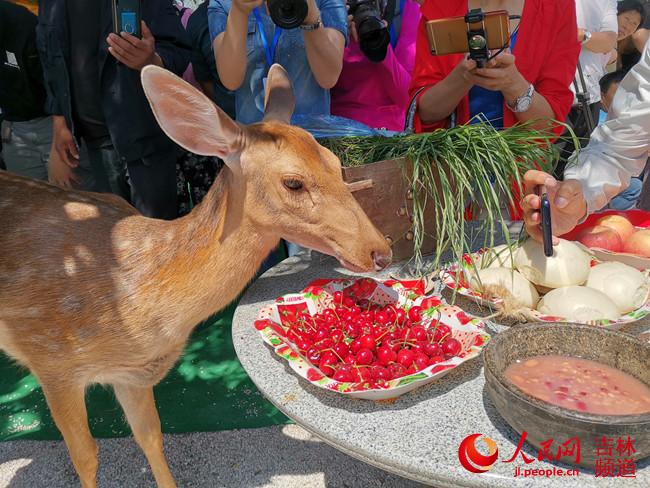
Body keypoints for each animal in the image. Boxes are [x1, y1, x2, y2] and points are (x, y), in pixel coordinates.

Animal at [0, 65, 390, 488]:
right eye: (294, 182)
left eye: (336, 163)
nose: (380, 251)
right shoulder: (53, 361)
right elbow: (85, 457)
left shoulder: (133, 375)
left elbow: (151, 436)